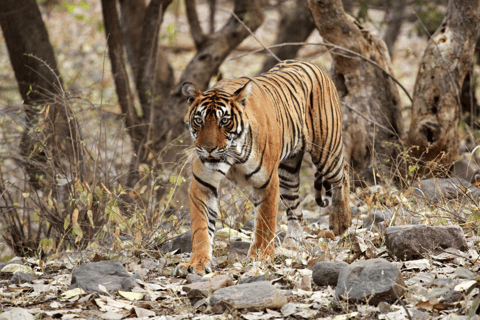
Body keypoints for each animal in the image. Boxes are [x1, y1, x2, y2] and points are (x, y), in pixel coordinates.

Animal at [175, 60, 348, 276]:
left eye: (224, 121)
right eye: (199, 120)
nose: (208, 148)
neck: (233, 153)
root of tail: (311, 64)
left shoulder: (267, 182)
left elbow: (266, 220)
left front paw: (262, 255)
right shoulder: (203, 185)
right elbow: (201, 228)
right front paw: (197, 263)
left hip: (327, 152)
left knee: (343, 176)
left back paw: (341, 223)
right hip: (288, 172)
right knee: (296, 210)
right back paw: (291, 245)